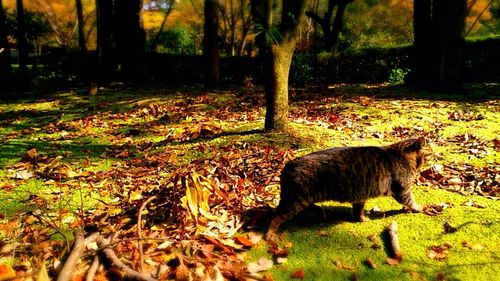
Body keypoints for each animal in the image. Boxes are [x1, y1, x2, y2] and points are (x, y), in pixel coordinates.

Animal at [266, 137, 434, 240]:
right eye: (431, 153)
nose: (437, 157)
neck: (402, 155)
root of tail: (287, 165)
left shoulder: (361, 195)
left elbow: (358, 210)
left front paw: (361, 218)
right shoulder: (403, 190)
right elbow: (412, 202)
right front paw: (420, 208)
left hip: (303, 198)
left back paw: (320, 211)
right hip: (295, 201)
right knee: (276, 216)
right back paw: (270, 234)